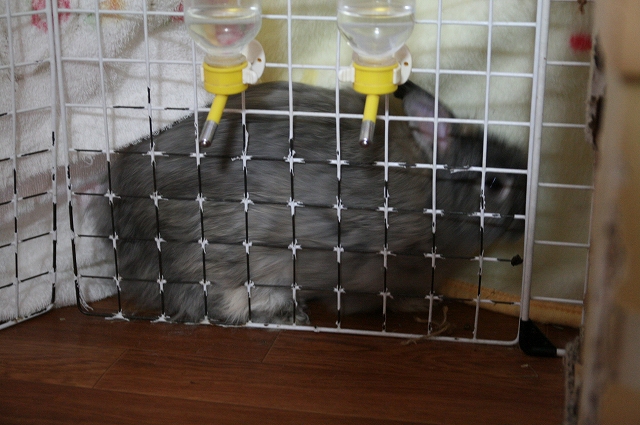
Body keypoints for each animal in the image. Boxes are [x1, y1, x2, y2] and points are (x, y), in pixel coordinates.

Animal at [100, 81, 527, 324]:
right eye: (495, 183)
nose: (526, 220)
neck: (432, 193)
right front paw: (416, 306)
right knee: (222, 306)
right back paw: (289, 314)